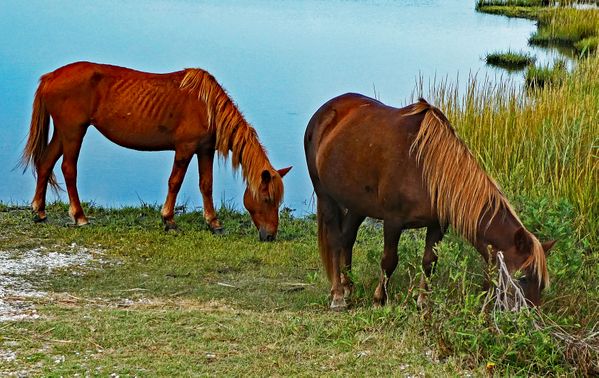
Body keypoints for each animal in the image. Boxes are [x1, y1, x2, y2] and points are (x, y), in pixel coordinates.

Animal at [22, 61, 292, 241]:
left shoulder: (205, 150)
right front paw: (169, 220)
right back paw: (79, 217)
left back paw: (40, 212)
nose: (270, 236)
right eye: (267, 199)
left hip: (64, 132)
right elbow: (175, 182)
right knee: (69, 169)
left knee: (45, 162)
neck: (207, 107)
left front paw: (214, 223)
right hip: (73, 132)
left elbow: (206, 185)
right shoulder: (185, 149)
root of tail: (50, 77)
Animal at [304, 93, 556, 308]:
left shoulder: (437, 224)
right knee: (336, 241)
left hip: (358, 203)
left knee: (347, 238)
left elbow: (429, 261)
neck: (426, 167)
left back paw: (348, 286)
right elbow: (389, 260)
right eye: (522, 278)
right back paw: (338, 295)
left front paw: (423, 300)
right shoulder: (392, 221)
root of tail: (325, 111)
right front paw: (379, 299)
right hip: (325, 195)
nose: (531, 313)